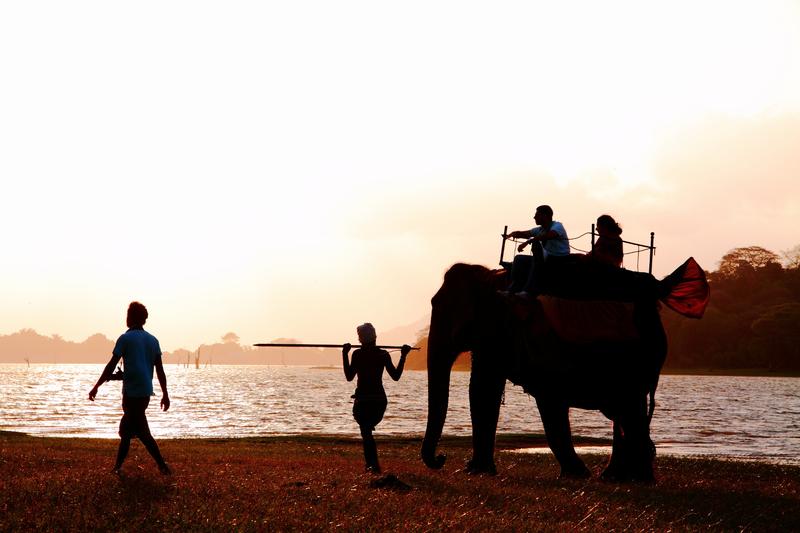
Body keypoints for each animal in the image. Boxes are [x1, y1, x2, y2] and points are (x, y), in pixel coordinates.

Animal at [422, 258, 708, 482]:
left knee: (627, 409)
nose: (441, 458)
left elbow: (486, 389)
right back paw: (622, 477)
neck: (489, 276)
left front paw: (473, 472)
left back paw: (632, 478)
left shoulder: (501, 331)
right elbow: (489, 390)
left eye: (440, 307)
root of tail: (657, 288)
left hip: (632, 356)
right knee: (627, 410)